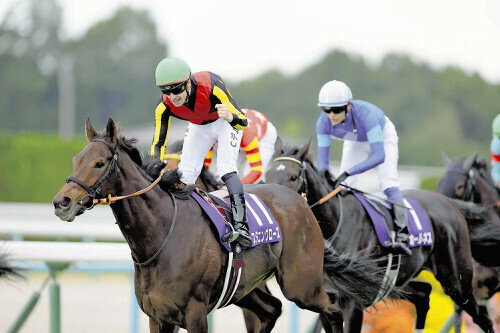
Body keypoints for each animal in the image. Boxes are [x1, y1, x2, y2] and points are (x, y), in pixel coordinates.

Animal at [51, 119, 394, 332]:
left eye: (99, 163)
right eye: (75, 160)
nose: (61, 202)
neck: (161, 237)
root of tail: (301, 202)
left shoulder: (195, 313)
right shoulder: (157, 316)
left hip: (301, 284)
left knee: (332, 310)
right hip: (246, 287)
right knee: (272, 309)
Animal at [264, 138, 494, 332]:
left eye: (294, 177)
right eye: (267, 175)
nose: (273, 202)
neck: (337, 223)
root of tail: (451, 204)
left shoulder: (353, 303)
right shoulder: (326, 300)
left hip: (457, 282)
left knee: (482, 316)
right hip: (396, 283)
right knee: (424, 294)